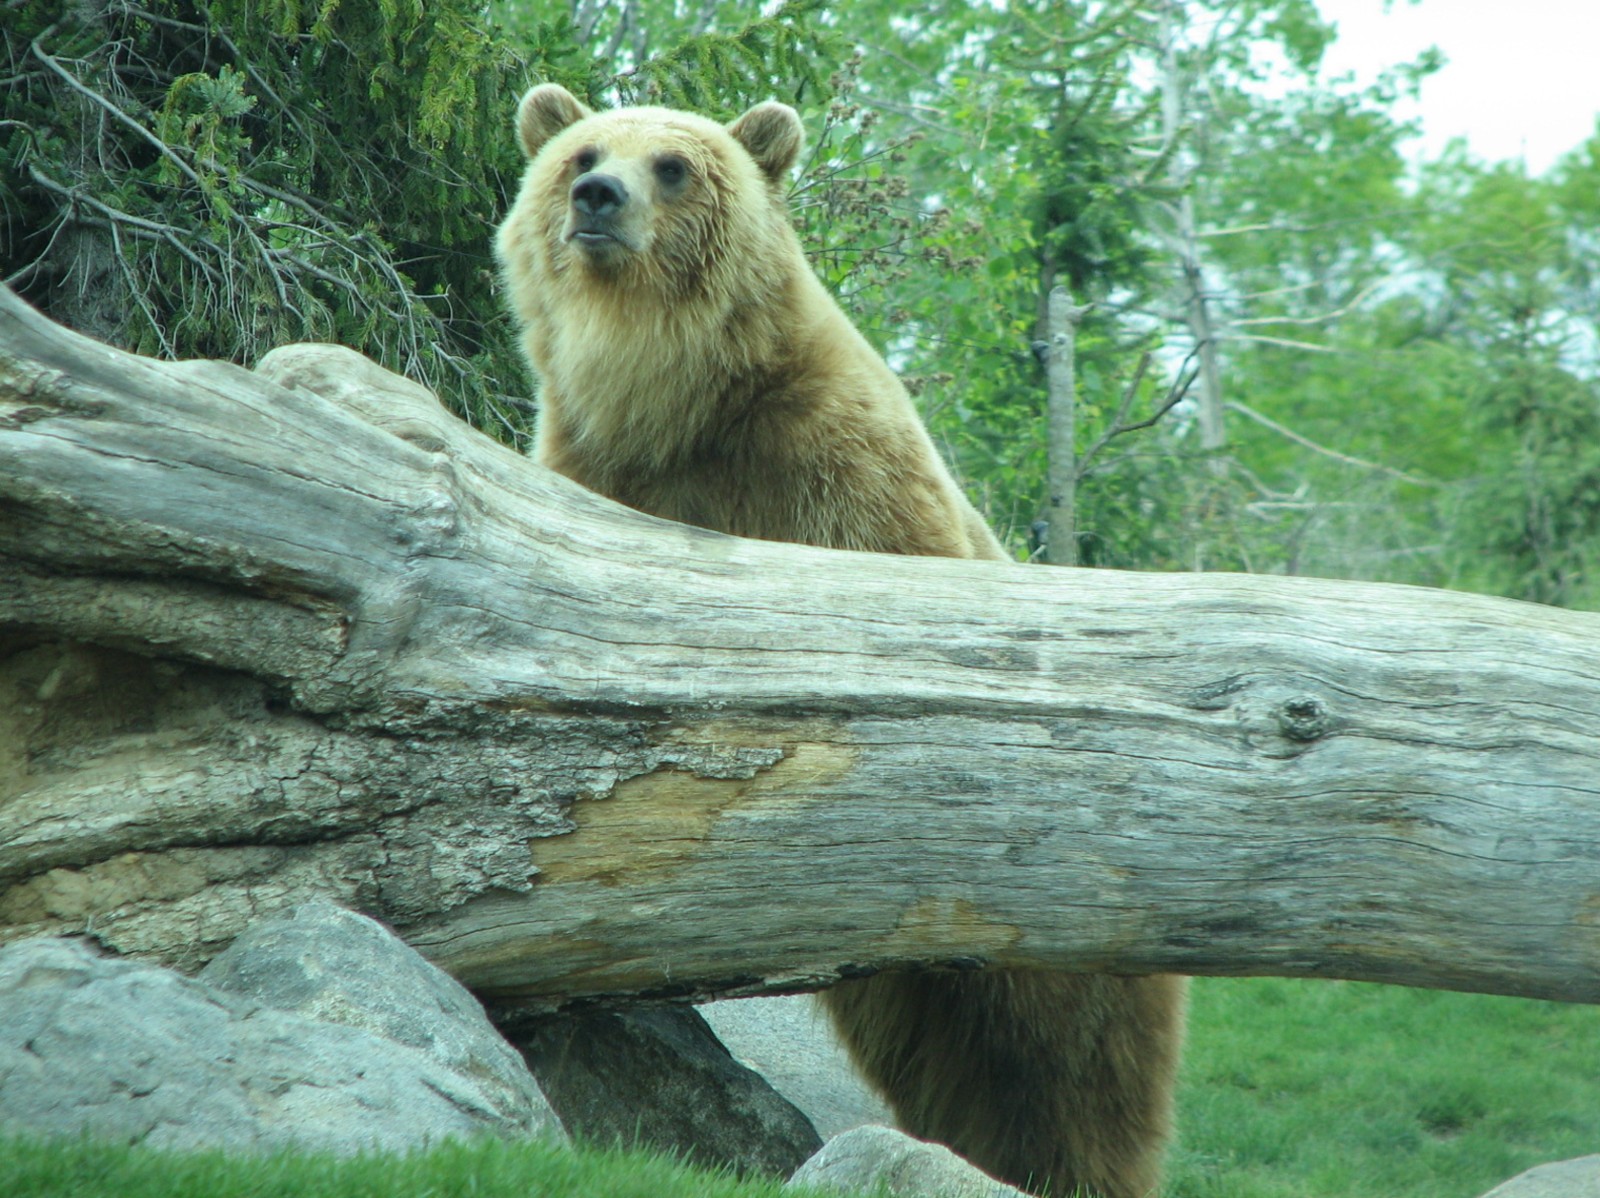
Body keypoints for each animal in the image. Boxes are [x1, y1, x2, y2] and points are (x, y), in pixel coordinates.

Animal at [494, 82, 1187, 1198]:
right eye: (583, 153)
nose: (599, 199)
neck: (676, 402)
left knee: (1067, 1071)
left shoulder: (832, 473)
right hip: (904, 988)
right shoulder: (602, 483)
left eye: (673, 165)